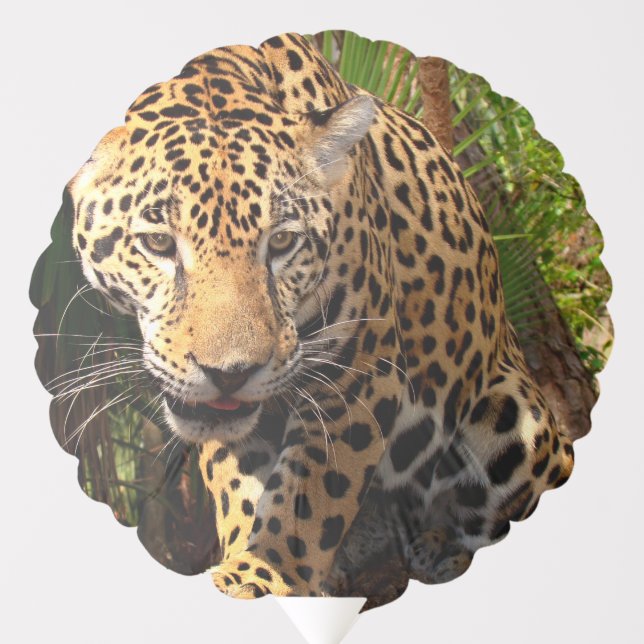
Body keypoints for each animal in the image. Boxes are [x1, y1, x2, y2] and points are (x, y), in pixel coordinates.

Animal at [67, 32, 574, 601]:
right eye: (157, 243)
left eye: (282, 242)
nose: (229, 375)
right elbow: (242, 488)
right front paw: (245, 560)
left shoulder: (359, 378)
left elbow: (308, 500)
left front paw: (264, 575)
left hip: (517, 420)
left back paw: (439, 548)